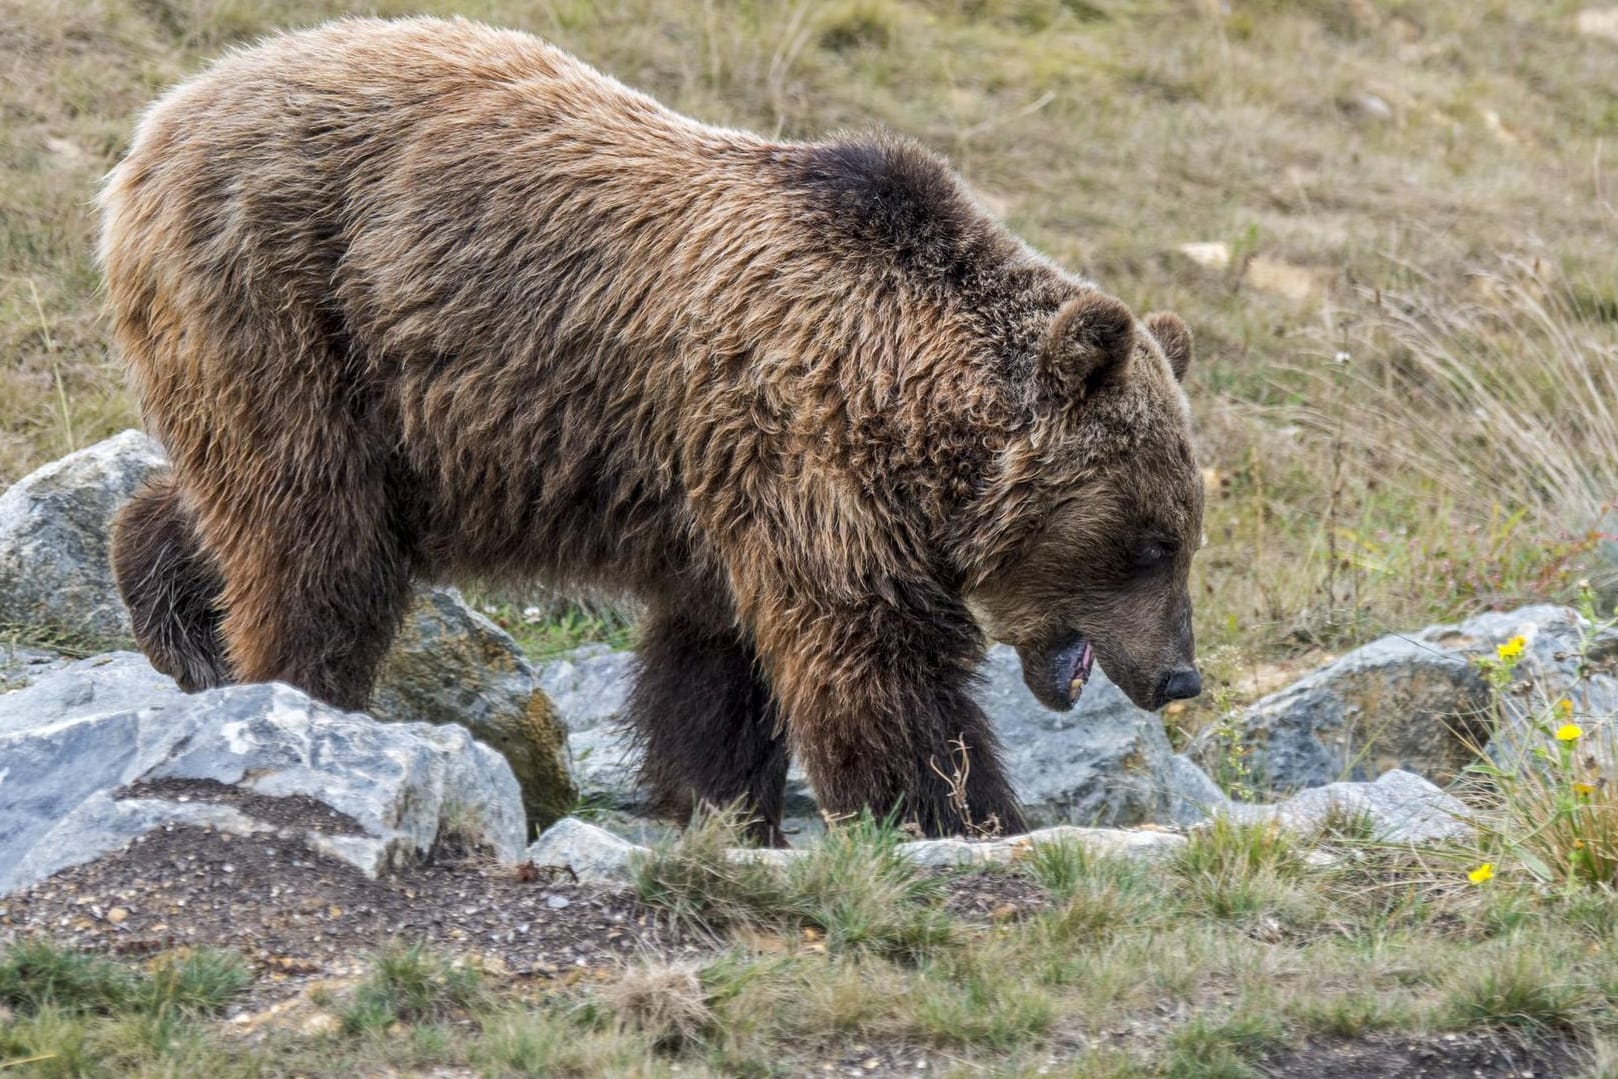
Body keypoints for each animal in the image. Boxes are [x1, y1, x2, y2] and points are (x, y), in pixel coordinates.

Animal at [101, 16, 1210, 841]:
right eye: (1151, 540)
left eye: (1184, 535)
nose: (1179, 674)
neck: (908, 401)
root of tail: (163, 117)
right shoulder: (801, 455)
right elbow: (875, 658)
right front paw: (962, 811)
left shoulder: (722, 485)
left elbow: (716, 664)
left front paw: (728, 807)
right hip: (290, 300)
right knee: (317, 533)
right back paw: (293, 690)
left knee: (247, 501)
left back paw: (177, 615)